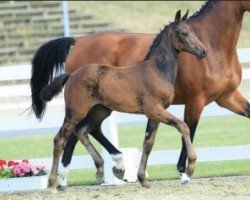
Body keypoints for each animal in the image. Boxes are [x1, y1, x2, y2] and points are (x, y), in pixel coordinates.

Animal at [30, 0, 250, 187]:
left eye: (193, 32)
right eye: (184, 33)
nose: (203, 52)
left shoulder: (224, 97)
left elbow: (149, 142)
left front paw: (143, 178)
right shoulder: (188, 102)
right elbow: (185, 128)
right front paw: (187, 170)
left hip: (101, 109)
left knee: (85, 130)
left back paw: (109, 168)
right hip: (77, 110)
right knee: (63, 138)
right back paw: (58, 180)